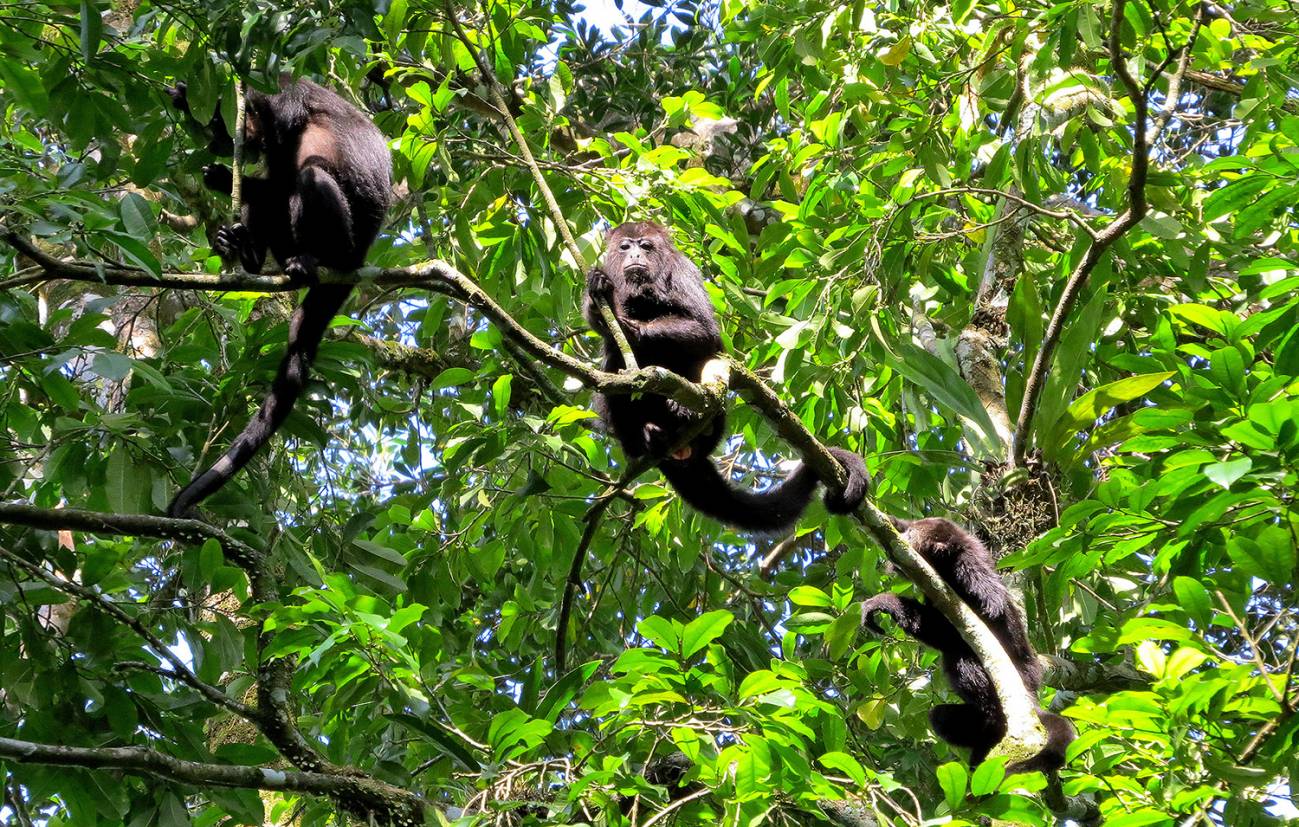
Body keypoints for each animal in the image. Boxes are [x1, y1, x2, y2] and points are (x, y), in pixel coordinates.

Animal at [162, 78, 387, 516]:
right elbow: (274, 174)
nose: (224, 137)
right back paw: (246, 252)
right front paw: (189, 104)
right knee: (274, 196)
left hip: (347, 246)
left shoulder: (287, 96)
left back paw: (310, 259)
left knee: (311, 177)